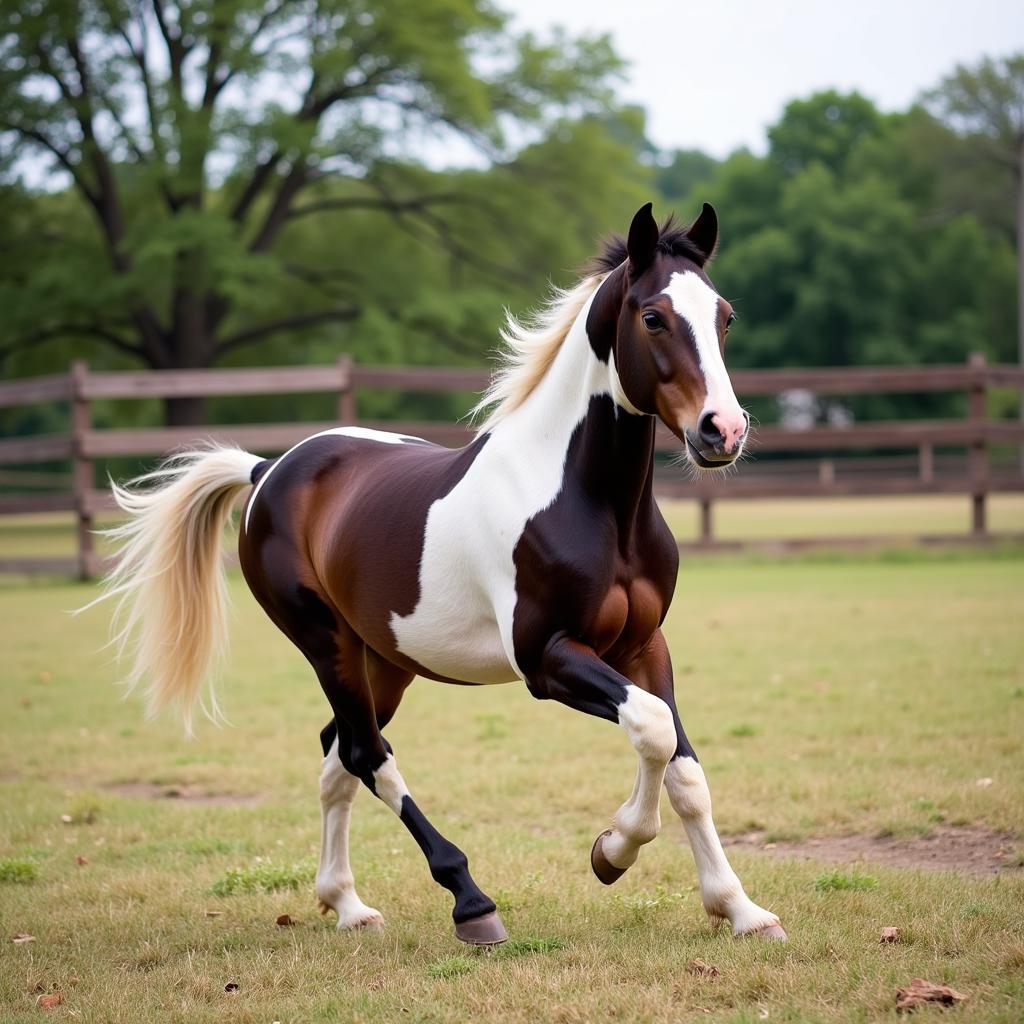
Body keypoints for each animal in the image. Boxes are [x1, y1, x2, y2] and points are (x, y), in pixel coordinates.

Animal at [97, 203, 782, 946]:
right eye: (653, 316)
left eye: (724, 316)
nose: (723, 431)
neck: (592, 503)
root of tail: (266, 470)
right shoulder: (547, 659)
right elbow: (653, 729)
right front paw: (614, 849)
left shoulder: (643, 646)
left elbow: (681, 765)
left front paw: (740, 909)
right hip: (325, 644)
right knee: (368, 754)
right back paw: (470, 903)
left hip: (384, 660)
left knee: (338, 753)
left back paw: (347, 904)